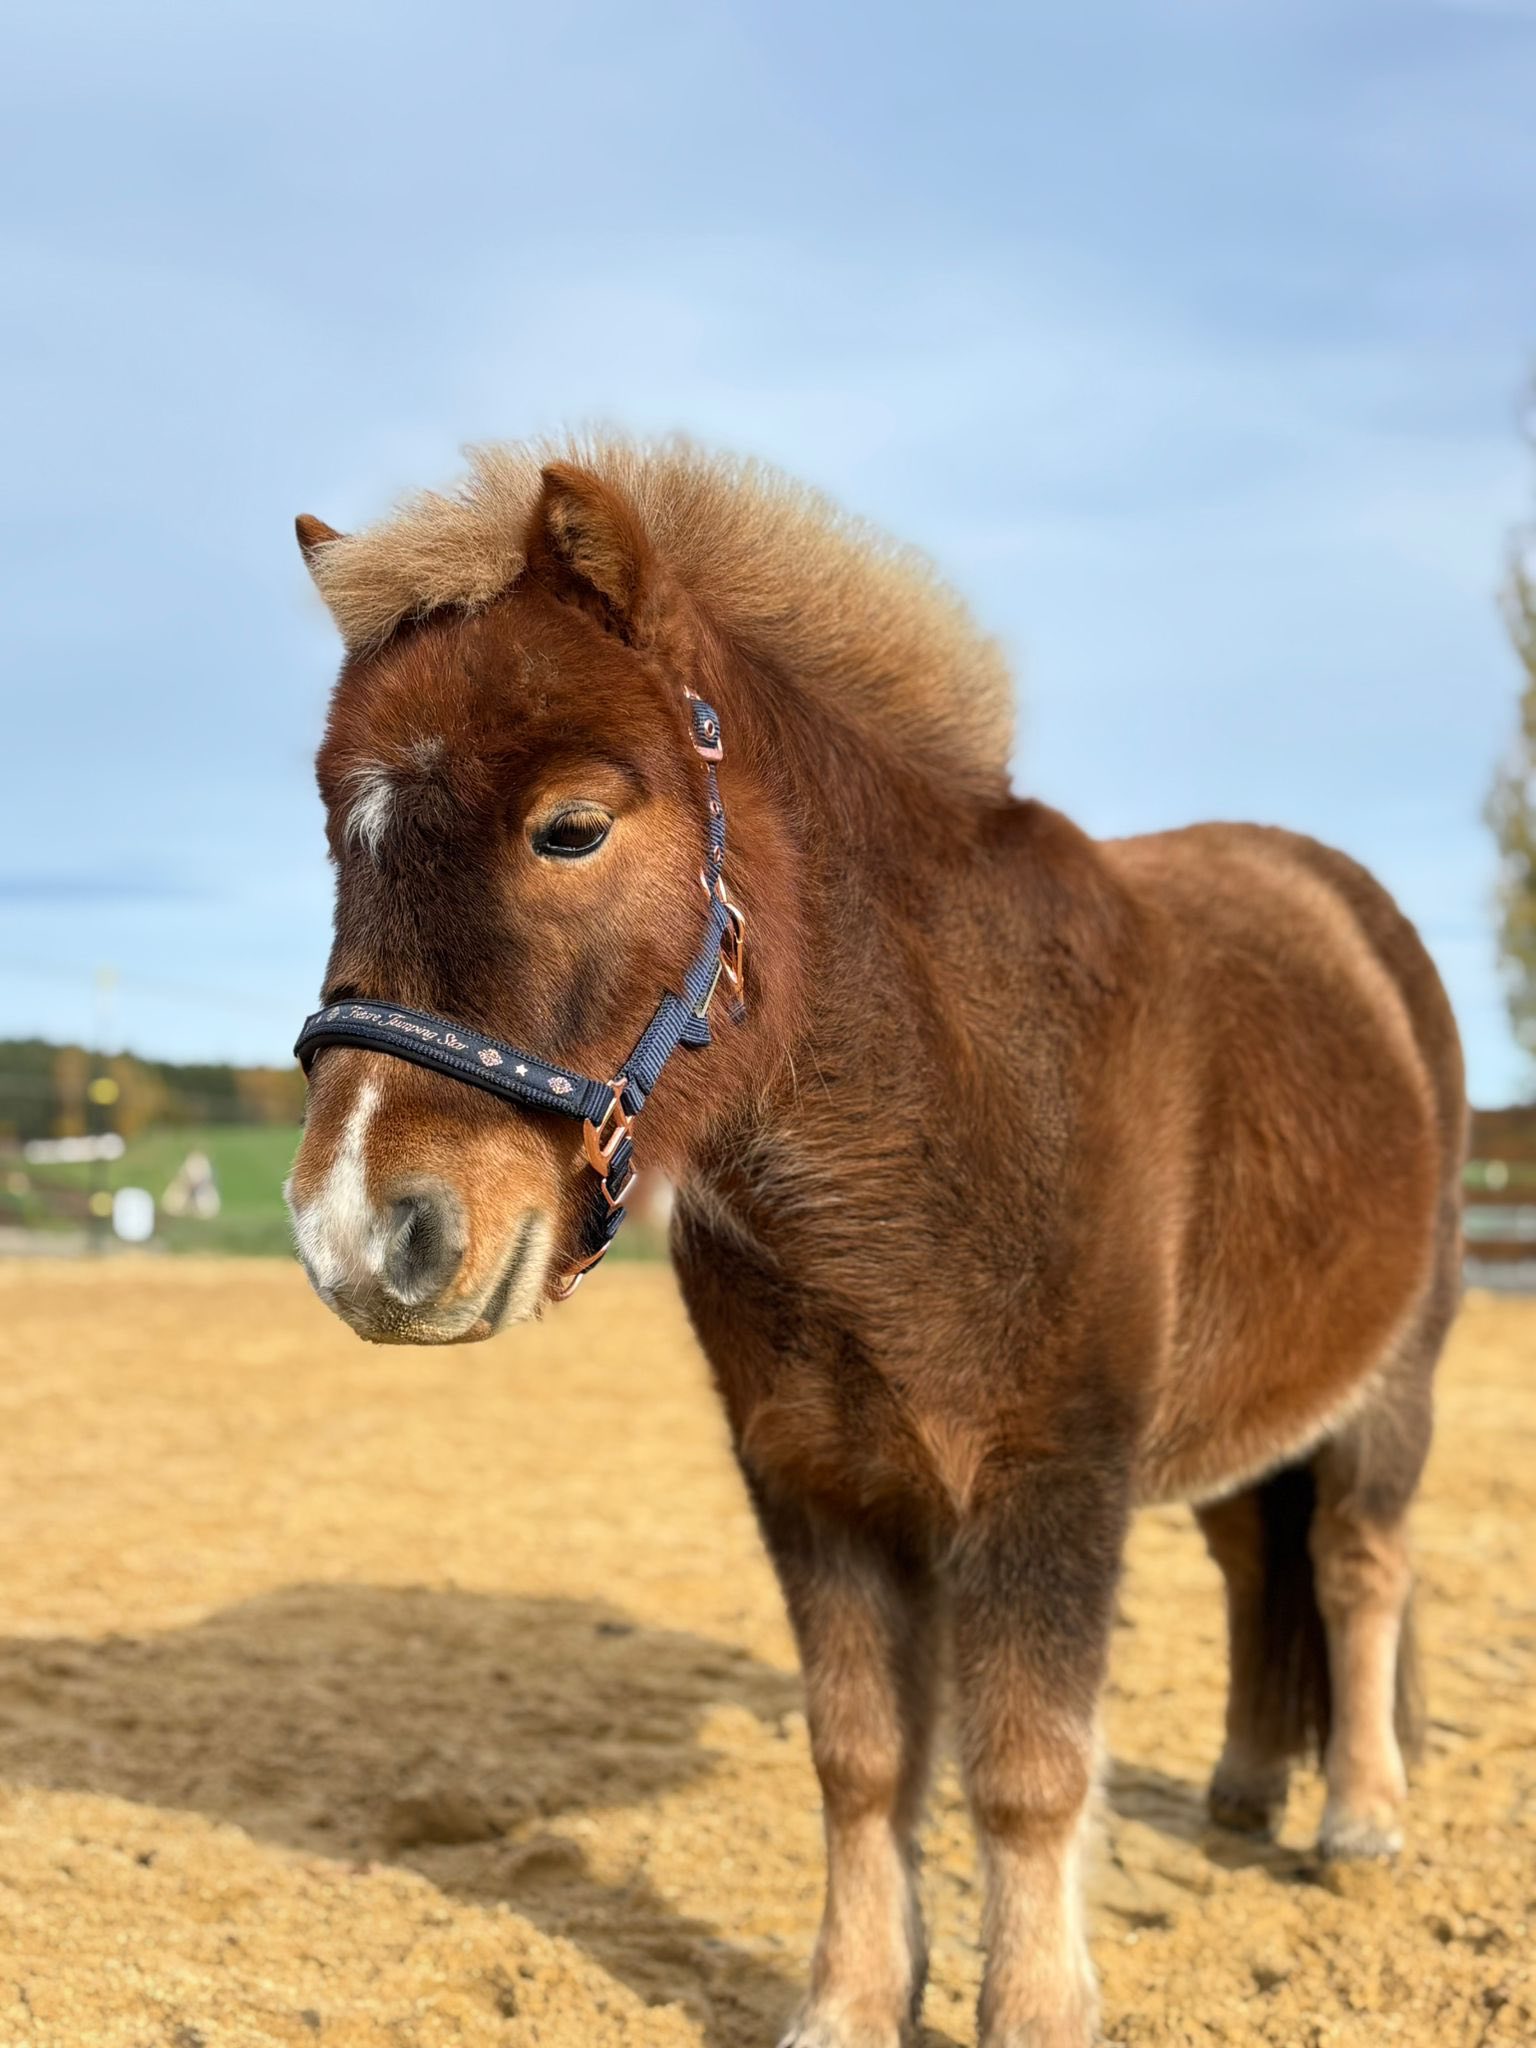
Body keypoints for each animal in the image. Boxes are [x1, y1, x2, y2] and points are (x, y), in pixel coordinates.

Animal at [284, 438, 1465, 2048]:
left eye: (571, 826)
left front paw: (1033, 2012)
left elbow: (1027, 1771)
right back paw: (1241, 1789)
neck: (940, 1100)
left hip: (1392, 1379)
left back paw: (1360, 1819)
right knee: (1249, 1563)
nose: (360, 1232)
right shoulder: (814, 1479)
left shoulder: (1048, 1476)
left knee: (1356, 1565)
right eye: (338, 834)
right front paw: (847, 2003)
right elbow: (861, 1756)